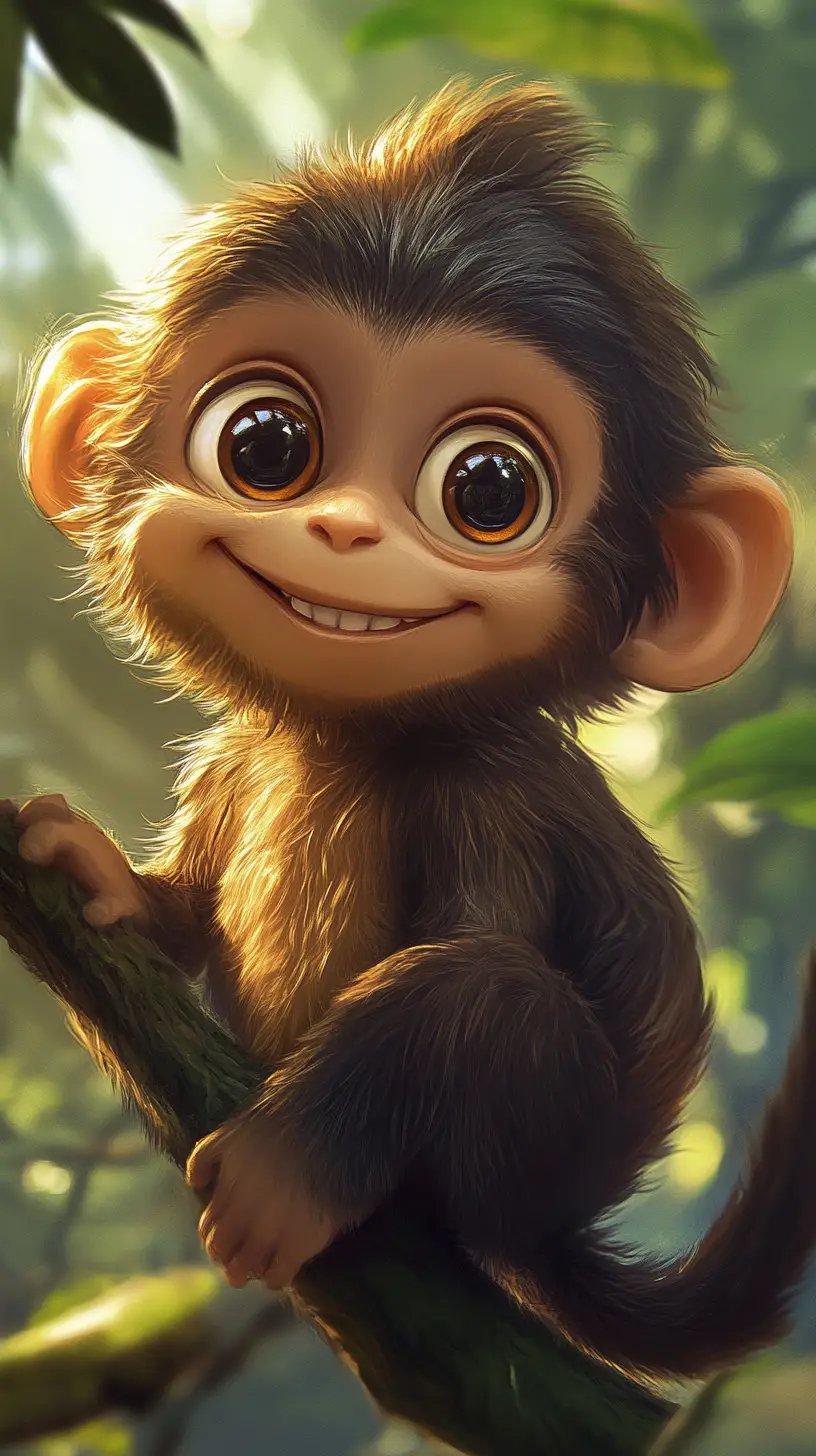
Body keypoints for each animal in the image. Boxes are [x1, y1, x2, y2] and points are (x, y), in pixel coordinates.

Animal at [12, 77, 816, 1384]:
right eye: (265, 444)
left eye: (488, 489)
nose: (343, 530)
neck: (345, 739)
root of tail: (542, 1226)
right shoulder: (232, 759)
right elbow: (178, 913)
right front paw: (98, 873)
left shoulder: (493, 796)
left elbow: (466, 968)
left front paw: (281, 1177)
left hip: (537, 1131)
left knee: (486, 999)